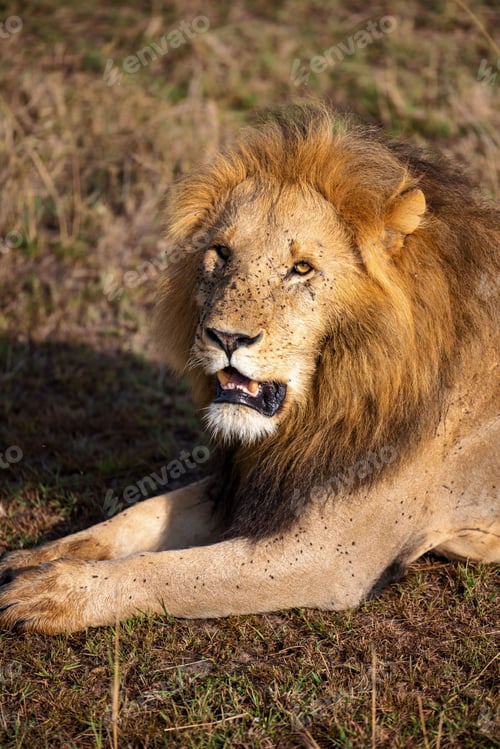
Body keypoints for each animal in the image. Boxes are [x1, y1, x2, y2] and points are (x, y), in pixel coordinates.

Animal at [0, 105, 498, 633]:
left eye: (301, 268)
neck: (325, 403)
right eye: (221, 253)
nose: (226, 338)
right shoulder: (248, 481)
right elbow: (137, 516)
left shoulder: (329, 555)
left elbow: (172, 571)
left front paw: (53, 592)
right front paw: (33, 558)